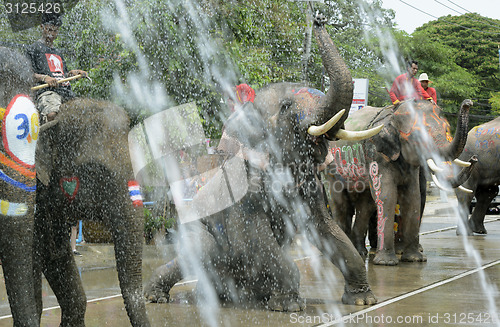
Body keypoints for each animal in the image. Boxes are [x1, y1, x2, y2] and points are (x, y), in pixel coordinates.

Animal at [145, 14, 378, 312]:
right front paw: (289, 306)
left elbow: (327, 231)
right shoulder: (243, 193)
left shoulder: (312, 190)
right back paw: (157, 297)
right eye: (286, 106)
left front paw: (362, 300)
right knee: (201, 251)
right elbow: (254, 239)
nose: (319, 18)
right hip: (194, 228)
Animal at [324, 100, 476, 266]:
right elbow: (387, 196)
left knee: (365, 205)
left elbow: (413, 196)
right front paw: (386, 263)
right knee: (339, 202)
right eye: (418, 137)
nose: (468, 103)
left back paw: (360, 251)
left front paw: (415, 259)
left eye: (447, 130)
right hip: (331, 168)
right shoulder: (376, 154)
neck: (393, 117)